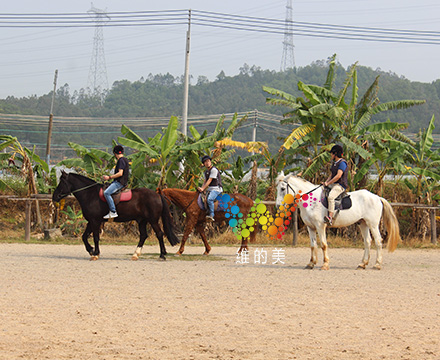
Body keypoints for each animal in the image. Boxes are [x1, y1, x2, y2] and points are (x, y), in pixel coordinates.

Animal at [52, 170, 180, 260]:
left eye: (62, 182)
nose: (54, 196)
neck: (90, 194)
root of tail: (158, 194)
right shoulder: (91, 221)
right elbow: (84, 237)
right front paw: (91, 250)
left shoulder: (95, 221)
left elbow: (95, 237)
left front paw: (95, 253)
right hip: (142, 220)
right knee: (143, 236)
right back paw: (136, 254)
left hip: (152, 220)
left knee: (159, 234)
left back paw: (162, 255)